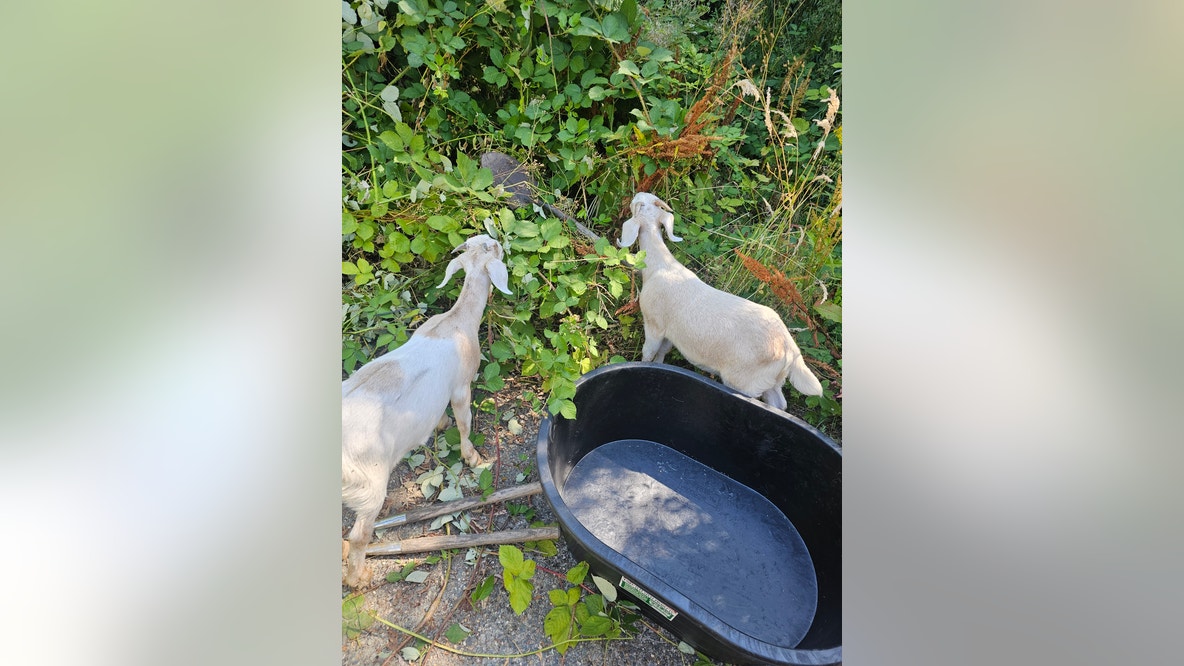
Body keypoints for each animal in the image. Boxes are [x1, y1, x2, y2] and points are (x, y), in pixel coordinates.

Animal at [341, 234, 510, 587]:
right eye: (493, 248)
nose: (500, 240)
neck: (454, 322)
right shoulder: (461, 386)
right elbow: (464, 421)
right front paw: (472, 457)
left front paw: (441, 423)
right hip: (368, 484)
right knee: (360, 535)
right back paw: (358, 577)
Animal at [618, 192, 823, 409]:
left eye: (640, 205)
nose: (636, 195)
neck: (660, 266)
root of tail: (789, 348)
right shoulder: (669, 334)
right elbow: (661, 355)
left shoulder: (654, 325)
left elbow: (648, 354)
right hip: (771, 380)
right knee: (779, 404)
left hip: (744, 383)